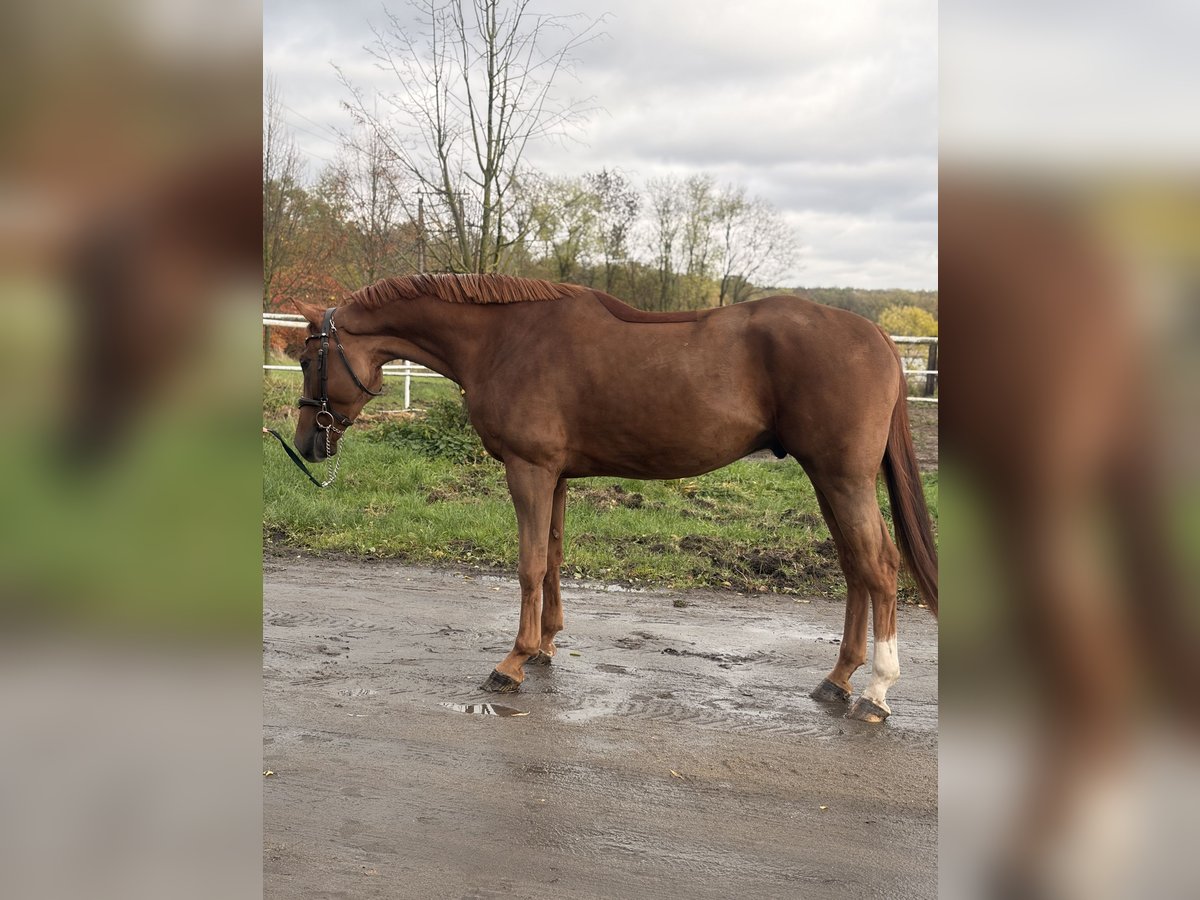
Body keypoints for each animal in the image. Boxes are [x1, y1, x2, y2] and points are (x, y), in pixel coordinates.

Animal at [290, 273, 938, 722]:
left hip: (842, 478)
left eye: (304, 359)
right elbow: (552, 558)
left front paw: (512, 662)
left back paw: (876, 691)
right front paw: (545, 647)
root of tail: (878, 337)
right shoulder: (555, 475)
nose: (305, 445)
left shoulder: (529, 470)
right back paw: (838, 679)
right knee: (855, 569)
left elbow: (528, 565)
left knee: (879, 566)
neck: (505, 339)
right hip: (828, 480)